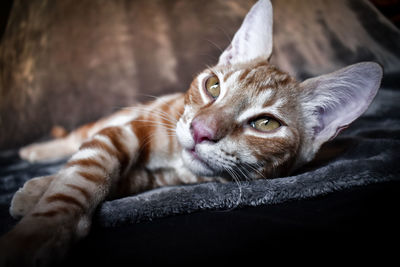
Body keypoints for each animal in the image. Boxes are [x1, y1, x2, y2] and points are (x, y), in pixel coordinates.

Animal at [0, 1, 382, 266]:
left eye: (265, 124)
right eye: (213, 86)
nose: (200, 131)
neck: (177, 163)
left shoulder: (160, 178)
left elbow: (117, 178)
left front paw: (36, 194)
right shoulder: (127, 130)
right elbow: (86, 171)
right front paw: (37, 232)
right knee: (79, 135)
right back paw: (34, 152)